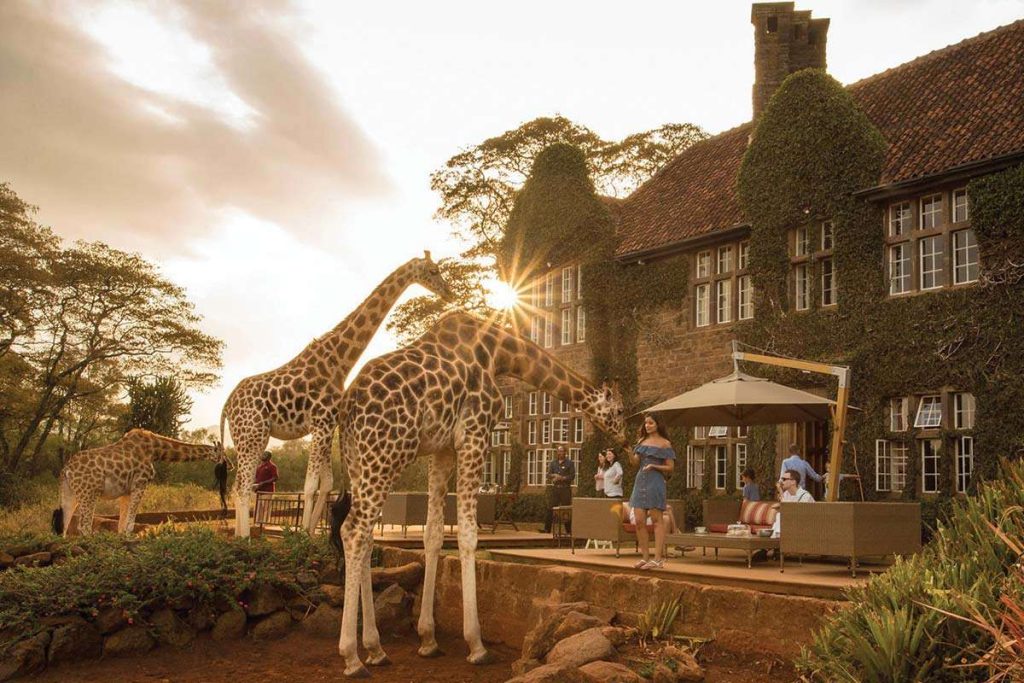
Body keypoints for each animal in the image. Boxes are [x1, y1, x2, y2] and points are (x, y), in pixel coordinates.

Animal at [52, 428, 227, 537]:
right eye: (223, 454)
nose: (230, 465)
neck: (156, 450)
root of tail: (66, 470)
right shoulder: (140, 483)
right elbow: (130, 523)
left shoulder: (126, 490)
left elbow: (122, 524)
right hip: (89, 493)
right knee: (84, 525)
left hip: (70, 493)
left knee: (64, 525)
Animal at [219, 252, 452, 538]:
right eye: (433, 270)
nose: (449, 293)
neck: (339, 362)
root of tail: (227, 405)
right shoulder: (320, 422)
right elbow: (310, 485)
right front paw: (301, 535)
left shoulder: (328, 424)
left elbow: (326, 483)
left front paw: (310, 534)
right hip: (251, 434)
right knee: (242, 485)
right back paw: (245, 538)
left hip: (252, 436)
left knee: (238, 484)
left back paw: (240, 536)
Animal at [331, 311, 628, 677]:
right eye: (618, 411)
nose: (627, 441)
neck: (499, 354)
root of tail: (347, 406)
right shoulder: (474, 435)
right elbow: (468, 535)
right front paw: (476, 645)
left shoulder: (443, 449)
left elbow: (433, 534)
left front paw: (428, 639)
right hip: (387, 454)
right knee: (354, 531)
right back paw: (352, 657)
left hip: (358, 460)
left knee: (365, 534)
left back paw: (375, 648)